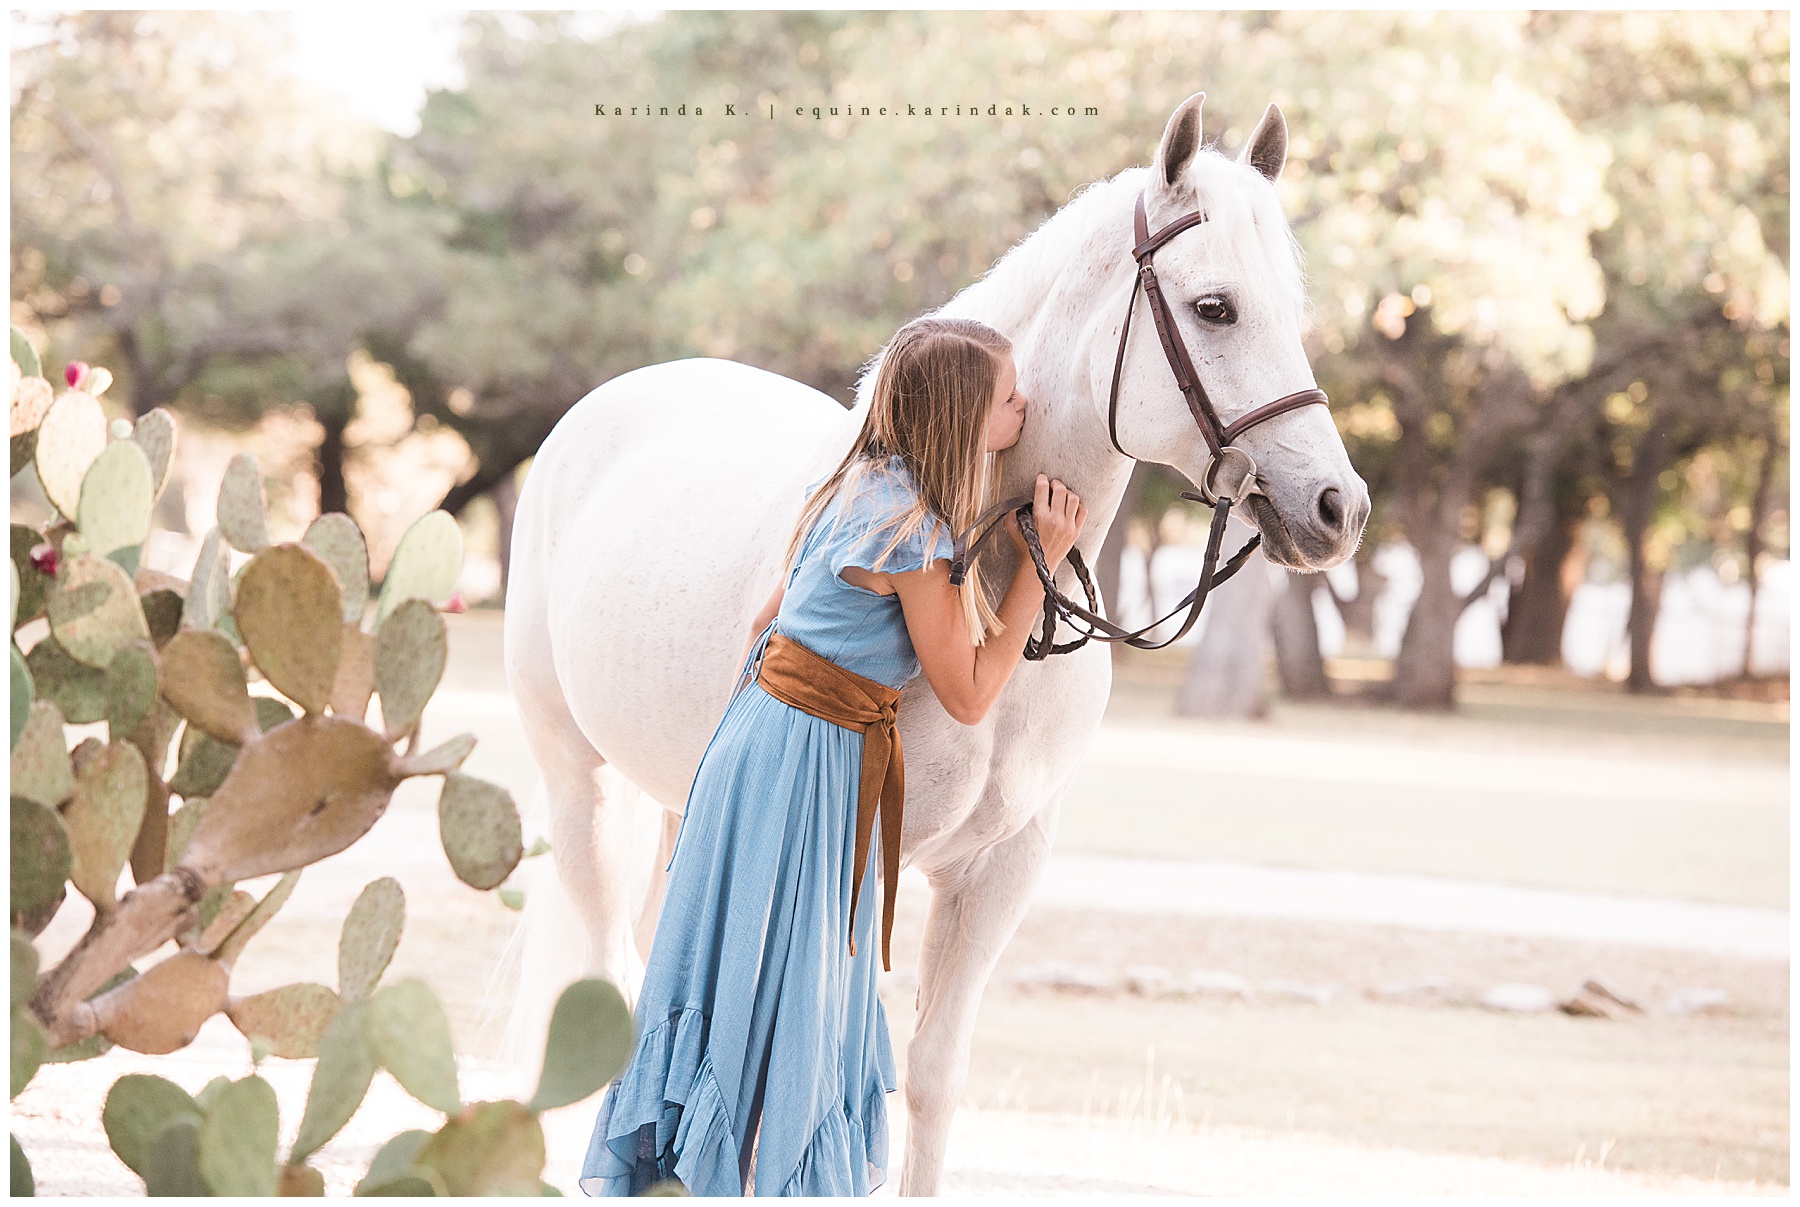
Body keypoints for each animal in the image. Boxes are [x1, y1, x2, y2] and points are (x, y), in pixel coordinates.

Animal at [501, 92, 1369, 1195]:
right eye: (1215, 307)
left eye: (1290, 311)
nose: (1339, 508)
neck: (991, 582)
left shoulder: (1000, 869)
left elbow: (932, 1076)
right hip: (584, 786)